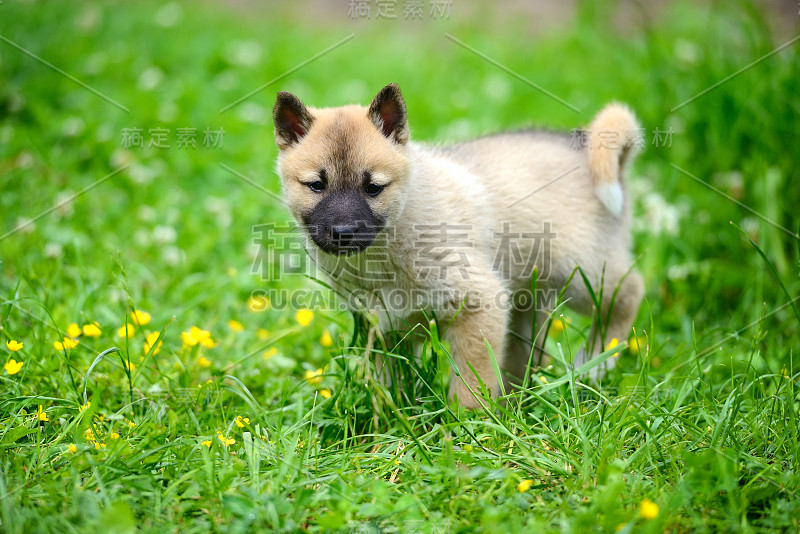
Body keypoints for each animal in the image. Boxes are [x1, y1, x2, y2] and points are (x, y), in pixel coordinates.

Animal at [274, 84, 644, 410]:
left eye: (373, 188)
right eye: (316, 185)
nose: (343, 232)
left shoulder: (480, 304)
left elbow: (471, 387)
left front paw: (468, 430)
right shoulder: (384, 327)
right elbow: (388, 385)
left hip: (581, 273)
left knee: (629, 292)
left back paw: (595, 364)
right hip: (530, 294)